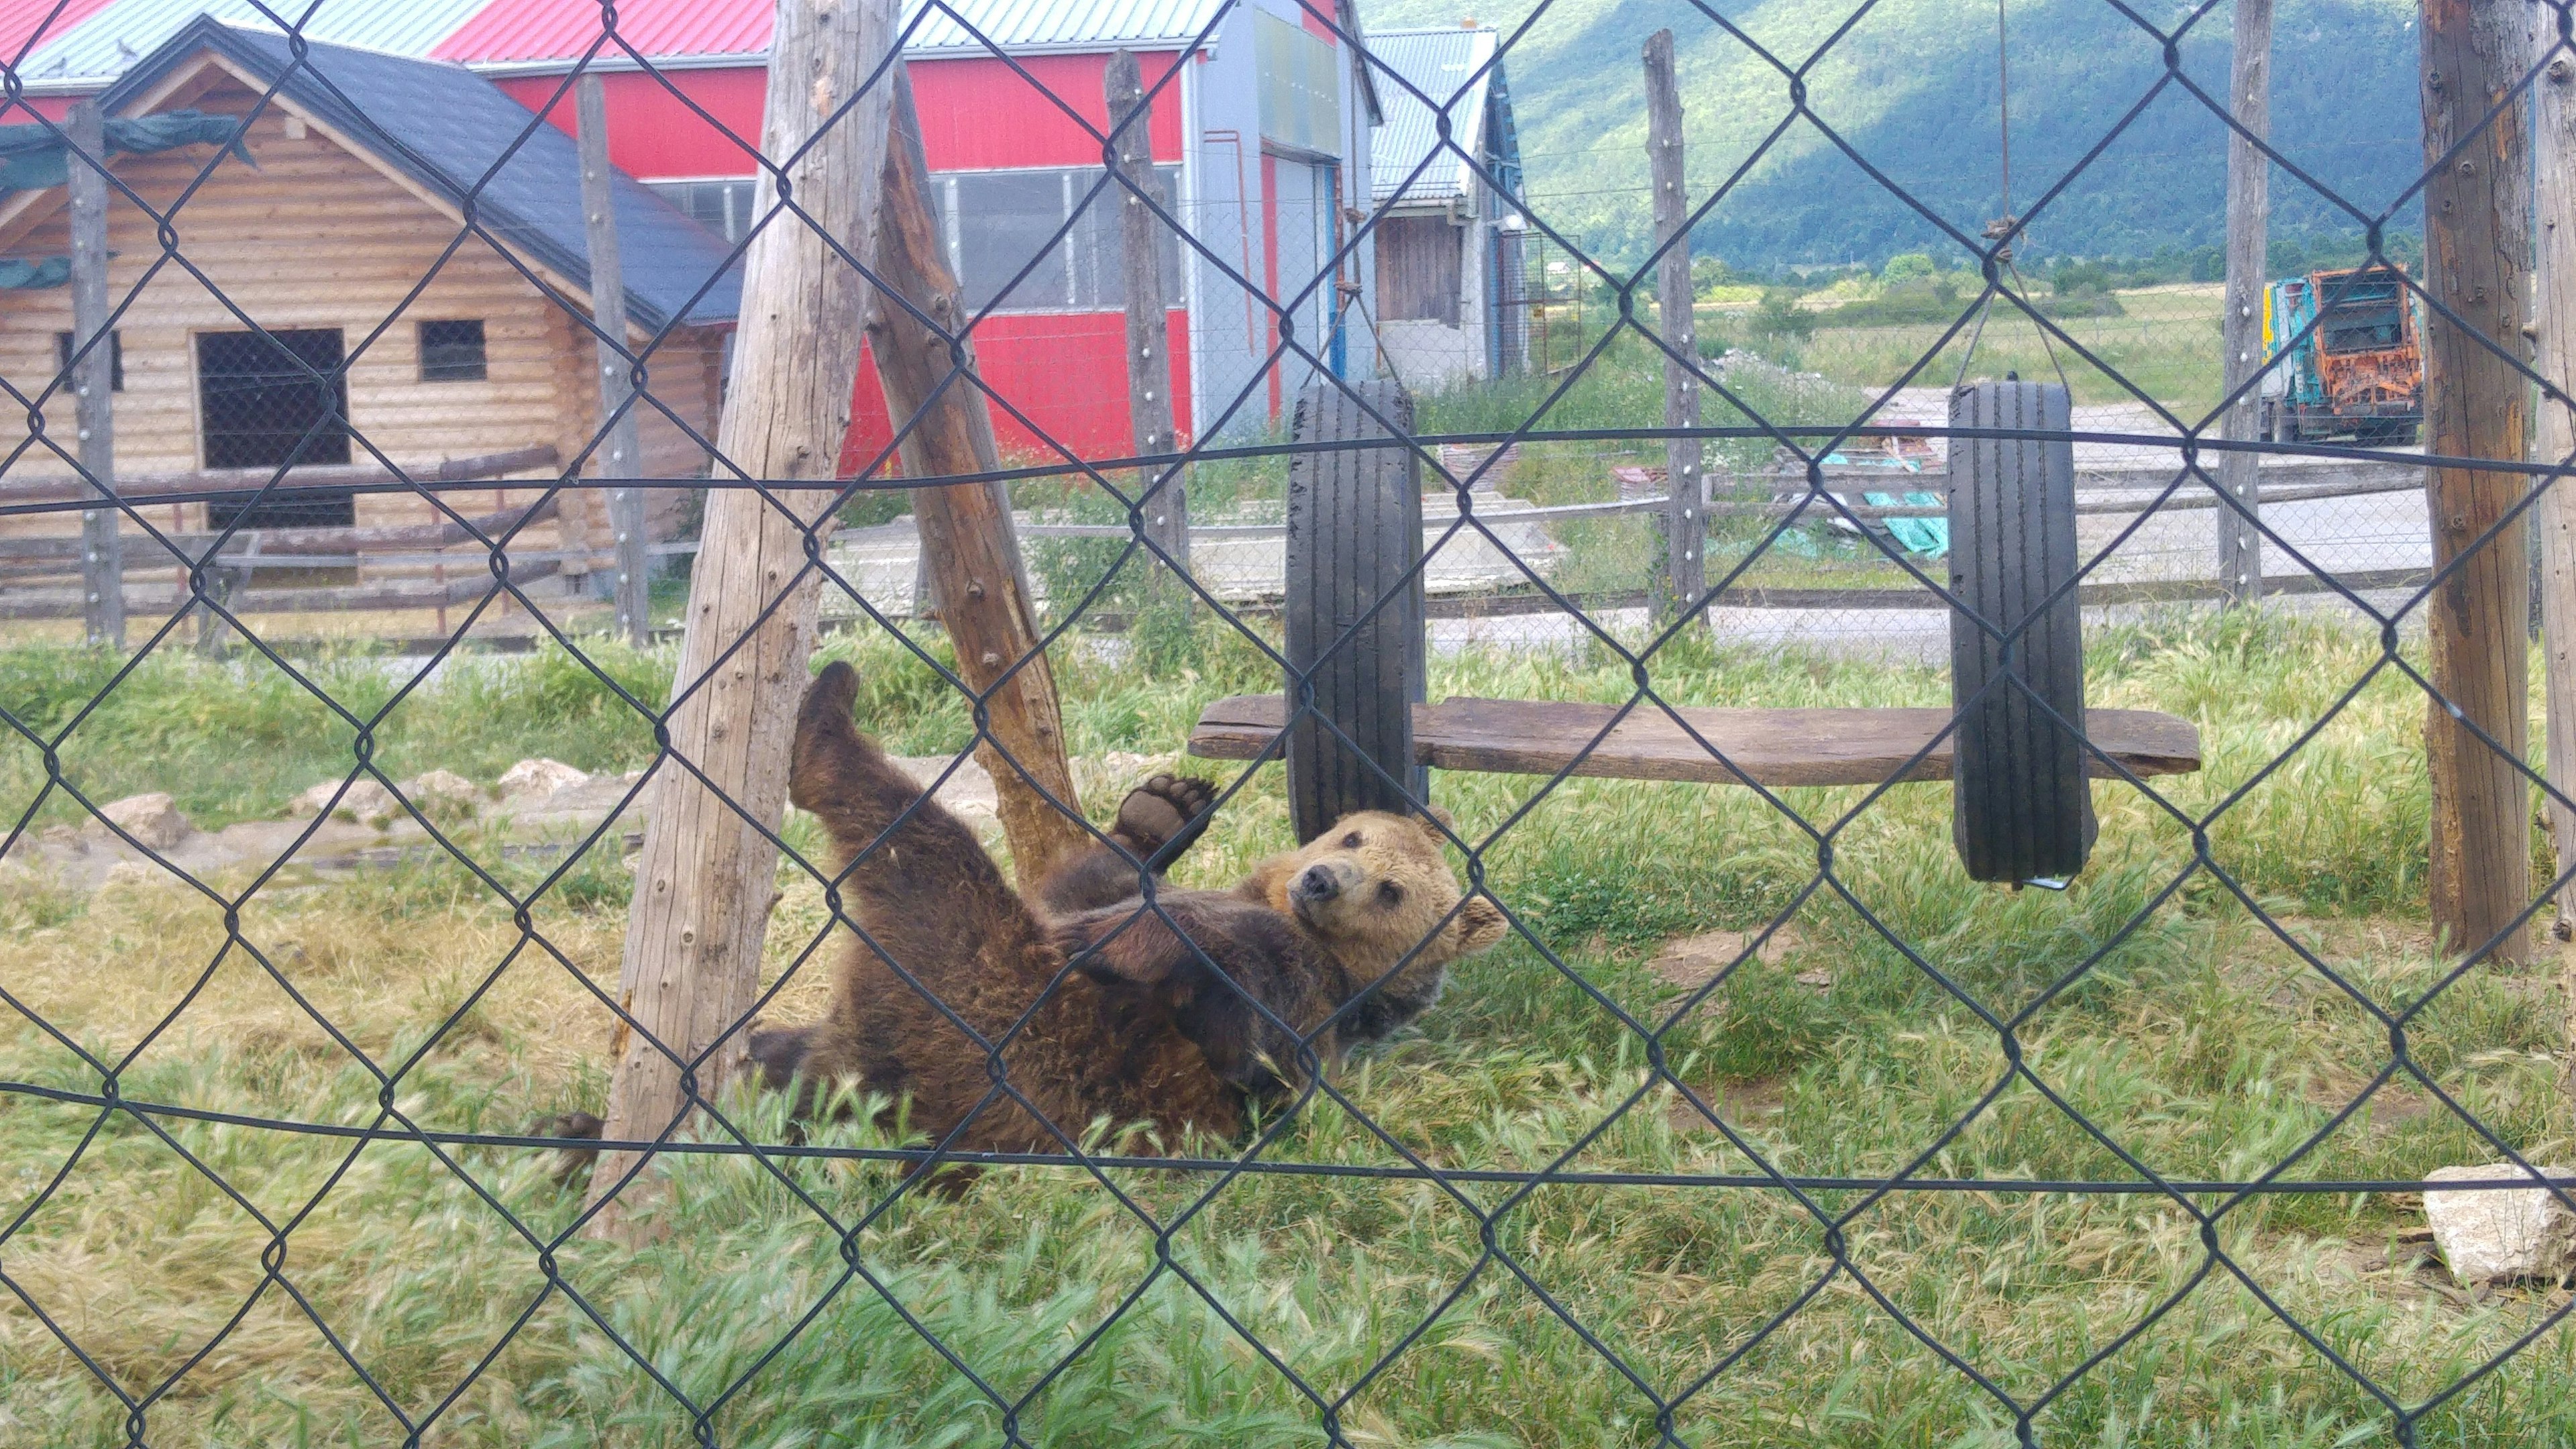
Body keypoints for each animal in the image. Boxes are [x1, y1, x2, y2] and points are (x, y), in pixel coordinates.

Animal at [548, 659, 1504, 1165]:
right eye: (1351, 834)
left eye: (1393, 888)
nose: (1322, 883)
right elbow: (1087, 884)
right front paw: (1164, 806)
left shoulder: (1286, 984)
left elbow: (1238, 1019)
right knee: (774, 1060)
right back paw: (579, 1130)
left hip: (967, 1004)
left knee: (919, 845)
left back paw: (827, 714)